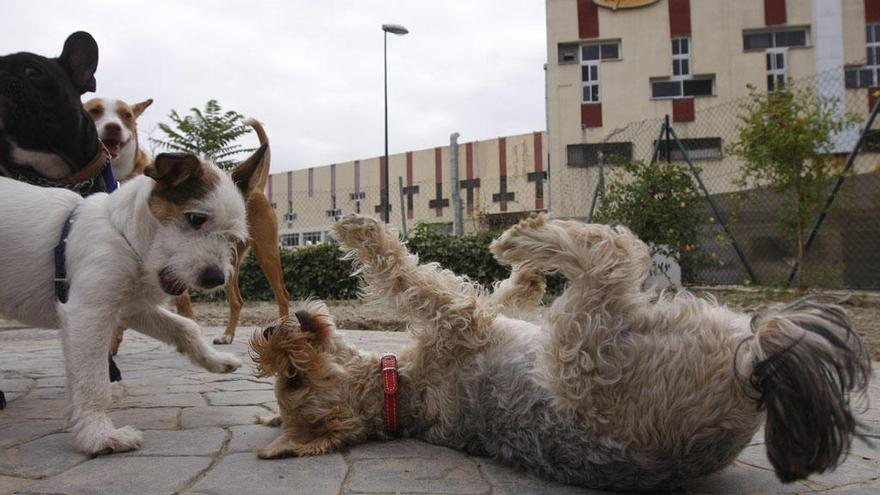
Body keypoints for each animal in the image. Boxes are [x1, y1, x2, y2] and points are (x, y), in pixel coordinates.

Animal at [249, 213, 872, 492]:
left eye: (291, 380)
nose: (270, 332)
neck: (398, 392)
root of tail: (753, 369)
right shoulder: (461, 320)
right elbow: (404, 274)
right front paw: (360, 231)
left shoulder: (476, 317)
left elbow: (496, 294)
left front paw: (526, 280)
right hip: (586, 334)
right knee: (614, 251)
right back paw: (523, 236)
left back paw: (527, 250)